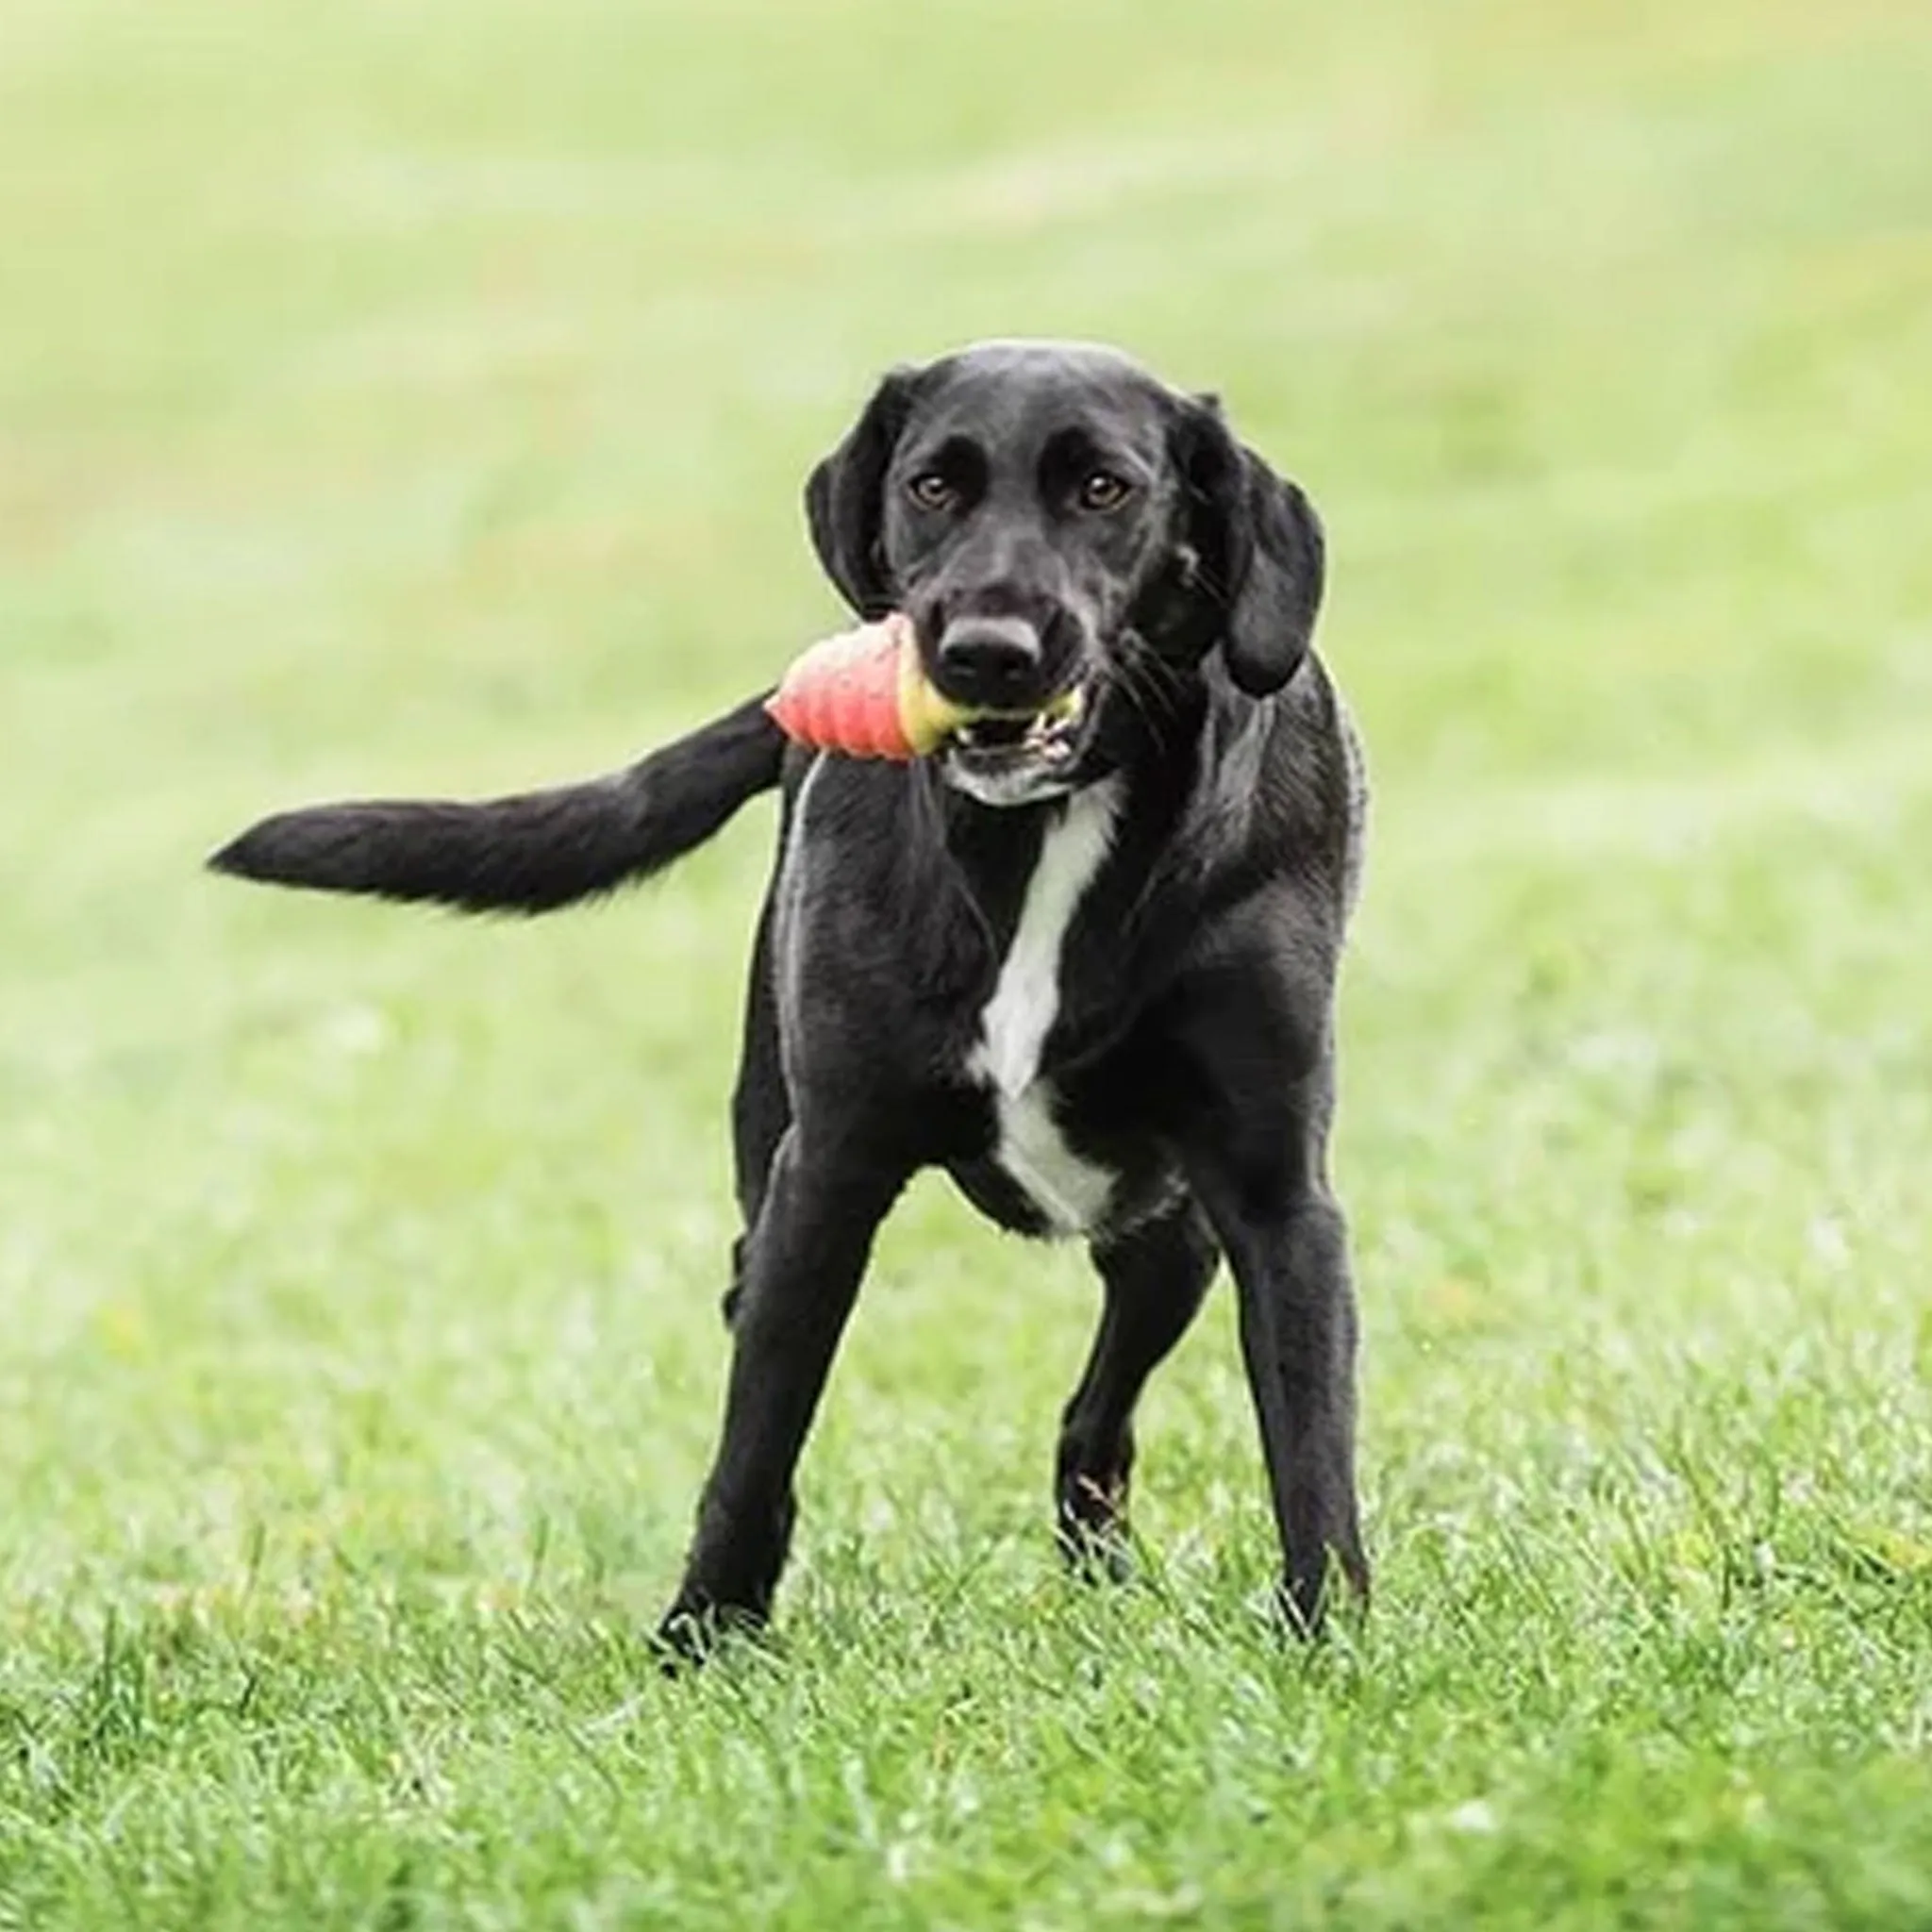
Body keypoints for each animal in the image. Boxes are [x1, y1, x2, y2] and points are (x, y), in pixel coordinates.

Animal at [215, 340, 1375, 1654]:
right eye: (932, 486)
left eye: (1104, 490)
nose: (982, 649)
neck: (1041, 840)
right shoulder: (823, 1176)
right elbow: (753, 1443)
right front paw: (701, 1637)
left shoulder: (1276, 1198)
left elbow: (1308, 1438)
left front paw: (1328, 1639)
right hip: (777, 1172)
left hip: (1167, 1237)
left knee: (1095, 1413)